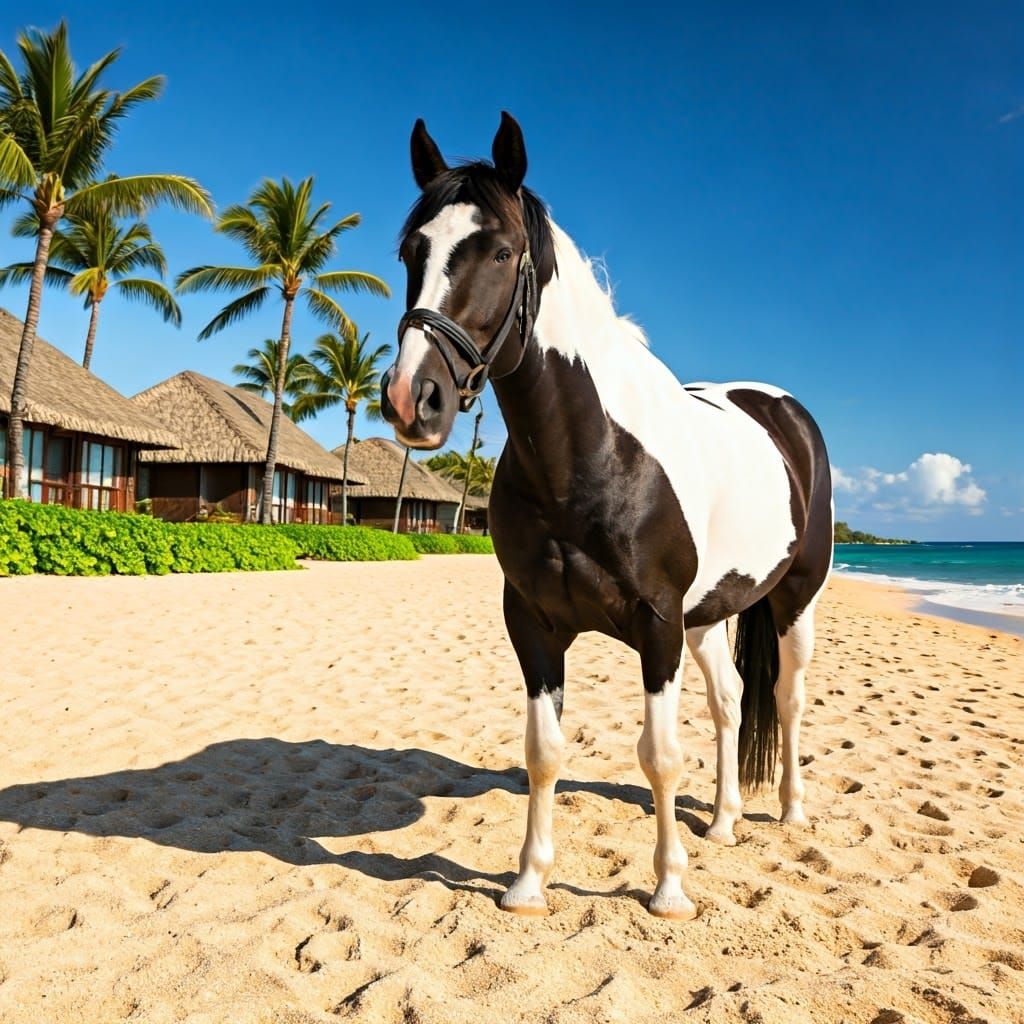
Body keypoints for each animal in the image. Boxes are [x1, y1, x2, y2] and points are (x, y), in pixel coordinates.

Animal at [380, 112, 833, 920]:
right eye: (412, 251)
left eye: (501, 250)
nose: (411, 399)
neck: (594, 456)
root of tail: (785, 412)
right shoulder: (534, 622)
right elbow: (544, 752)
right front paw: (528, 883)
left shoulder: (656, 625)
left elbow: (660, 757)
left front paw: (669, 890)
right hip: (708, 616)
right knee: (730, 702)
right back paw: (724, 822)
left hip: (792, 602)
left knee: (785, 698)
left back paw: (788, 811)